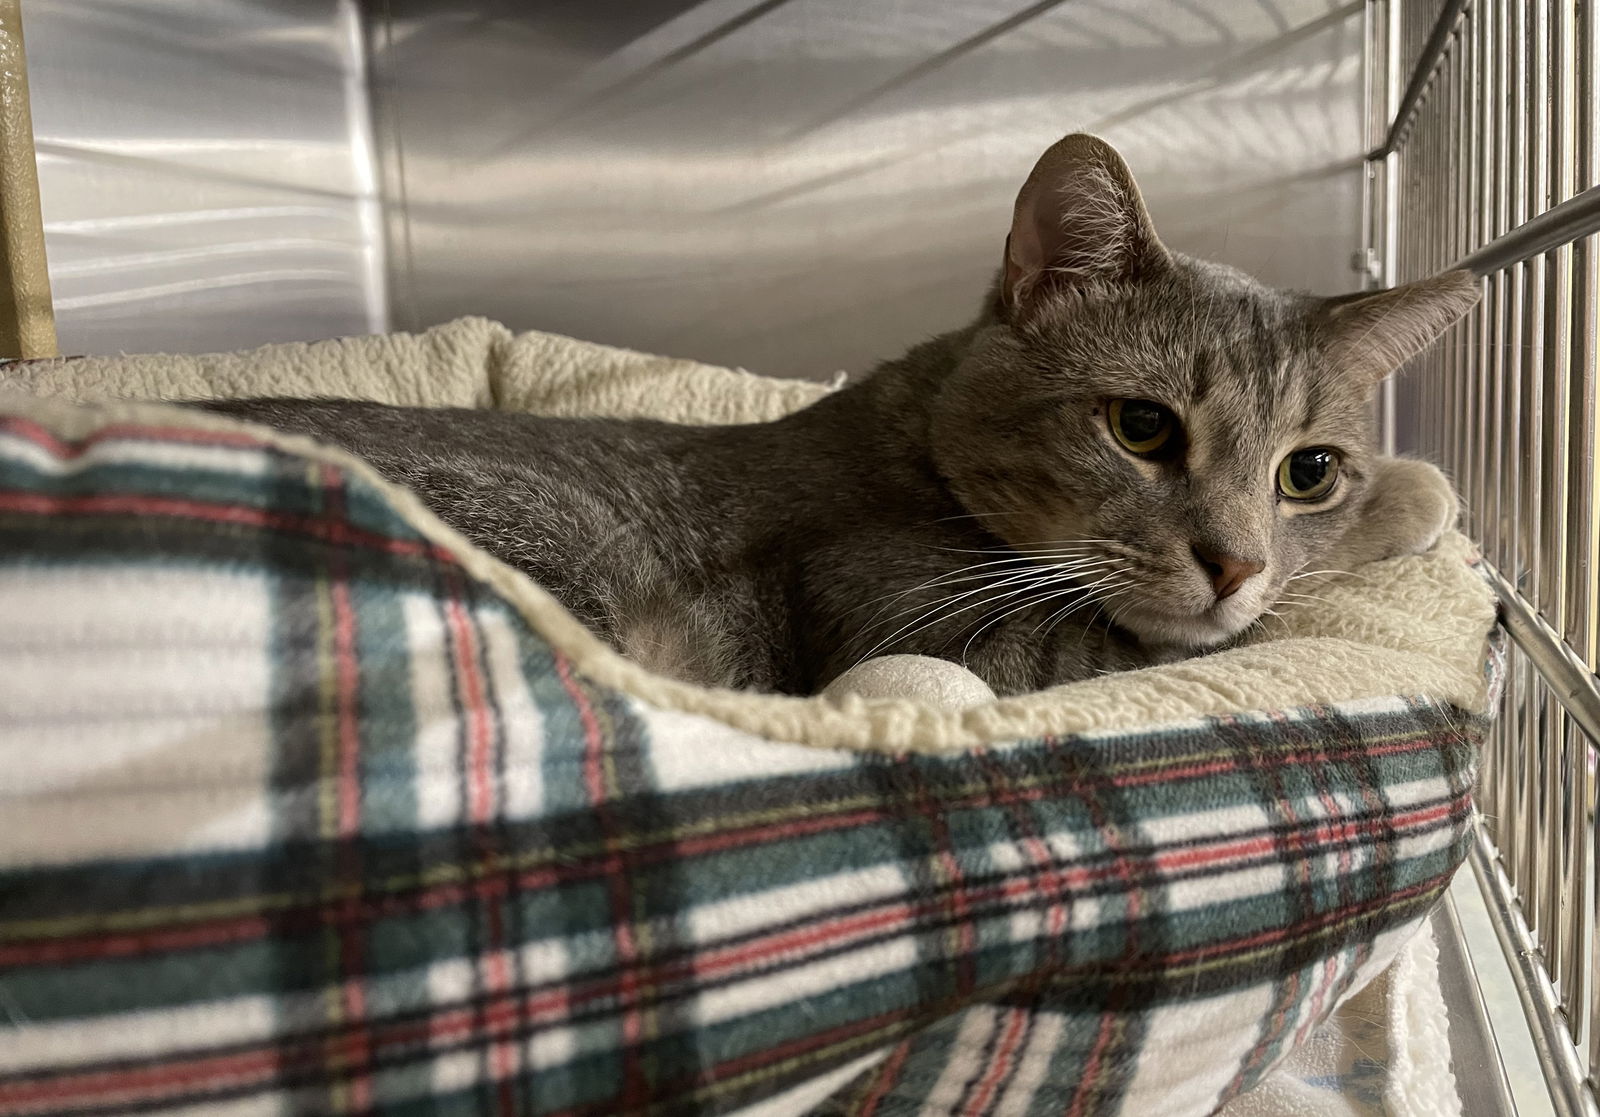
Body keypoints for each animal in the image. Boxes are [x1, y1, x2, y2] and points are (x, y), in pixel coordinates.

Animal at [203, 135, 1484, 691]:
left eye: (1307, 470)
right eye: (1141, 426)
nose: (1235, 563)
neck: (912, 436)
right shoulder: (933, 633)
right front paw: (1418, 491)